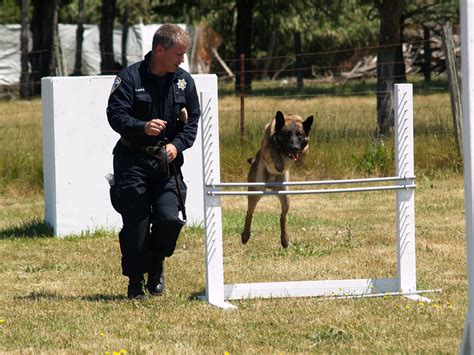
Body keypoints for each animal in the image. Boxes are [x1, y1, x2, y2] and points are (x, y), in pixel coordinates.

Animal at [241, 110, 314, 248]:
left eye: (300, 135)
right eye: (286, 134)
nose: (295, 148)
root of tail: (270, 185)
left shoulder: (305, 144)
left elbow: (306, 149)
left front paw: (300, 159)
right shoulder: (266, 148)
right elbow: (273, 150)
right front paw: (279, 162)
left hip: (285, 197)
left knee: (283, 217)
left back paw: (285, 239)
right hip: (255, 192)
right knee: (249, 213)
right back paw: (245, 236)